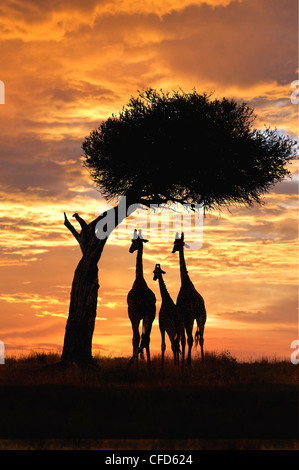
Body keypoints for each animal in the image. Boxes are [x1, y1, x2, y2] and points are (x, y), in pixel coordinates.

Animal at [172, 232, 207, 364]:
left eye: (176, 243)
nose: (173, 250)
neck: (185, 282)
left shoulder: (183, 314)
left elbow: (184, 340)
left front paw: (185, 362)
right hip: (201, 317)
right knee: (201, 338)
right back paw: (202, 363)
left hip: (192, 316)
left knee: (191, 339)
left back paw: (189, 363)